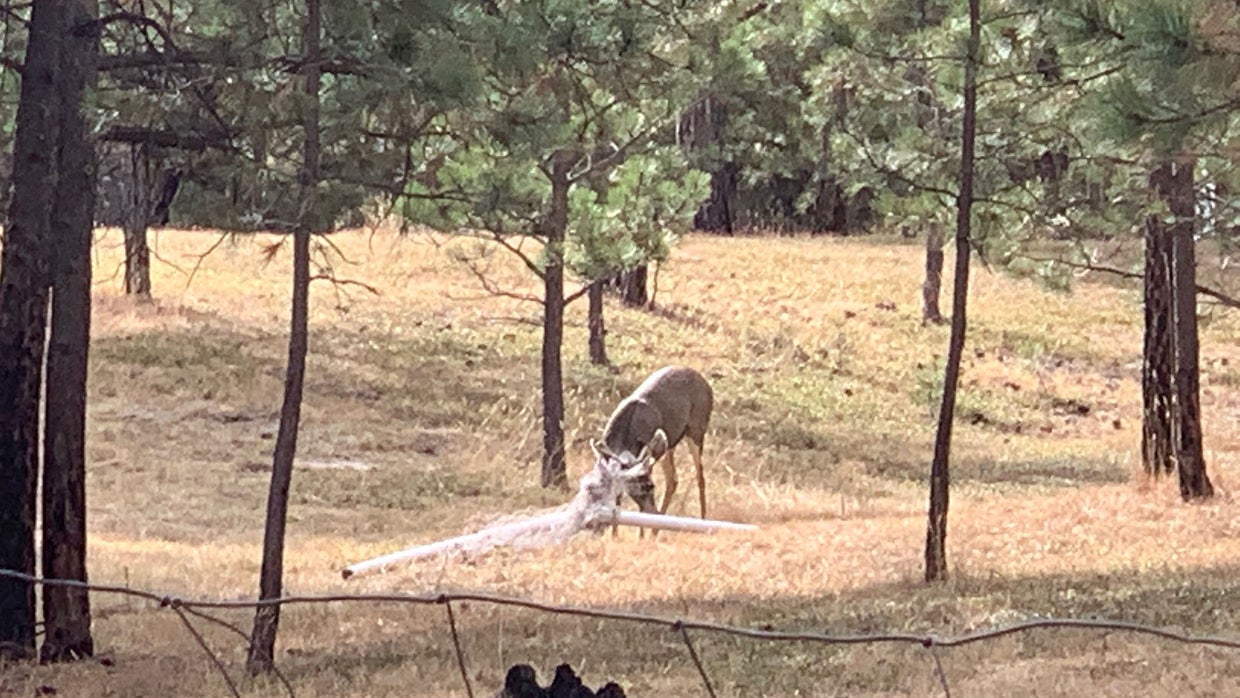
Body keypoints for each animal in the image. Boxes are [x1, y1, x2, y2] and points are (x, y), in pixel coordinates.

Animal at [589, 365, 714, 531]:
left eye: (651, 486)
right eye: (636, 486)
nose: (652, 511)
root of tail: (705, 383)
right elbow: (616, 500)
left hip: (697, 430)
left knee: (700, 476)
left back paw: (702, 520)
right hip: (669, 444)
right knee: (673, 479)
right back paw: (656, 529)